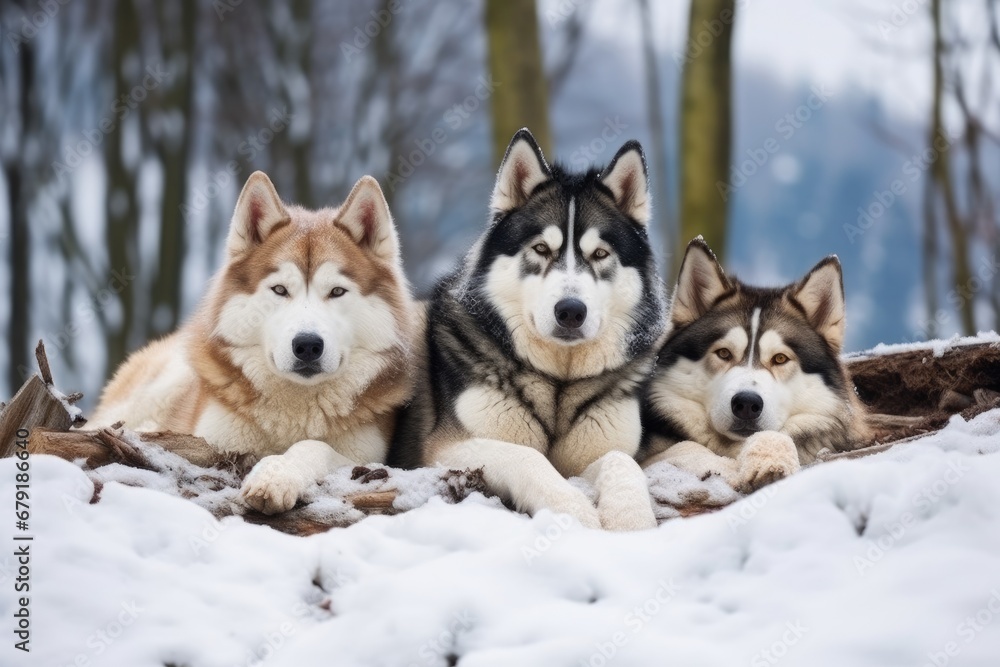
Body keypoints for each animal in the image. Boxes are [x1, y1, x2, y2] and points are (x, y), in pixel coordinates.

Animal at [388, 128, 664, 528]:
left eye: (600, 254)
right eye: (541, 249)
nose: (571, 311)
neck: (559, 381)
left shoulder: (605, 449)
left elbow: (622, 460)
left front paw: (632, 522)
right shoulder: (445, 448)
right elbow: (526, 456)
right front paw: (573, 513)